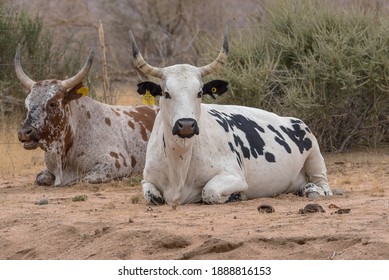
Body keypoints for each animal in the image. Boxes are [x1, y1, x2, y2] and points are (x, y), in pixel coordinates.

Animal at [15, 45, 158, 186]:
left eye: (52, 103)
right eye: (27, 104)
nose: (24, 133)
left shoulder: (115, 163)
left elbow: (84, 179)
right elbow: (40, 177)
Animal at [130, 30, 330, 205]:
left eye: (200, 93)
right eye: (166, 93)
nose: (186, 125)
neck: (179, 161)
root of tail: (292, 119)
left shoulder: (234, 176)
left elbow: (209, 191)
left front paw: (236, 196)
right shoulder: (147, 180)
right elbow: (152, 196)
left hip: (315, 156)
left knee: (323, 186)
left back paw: (312, 190)